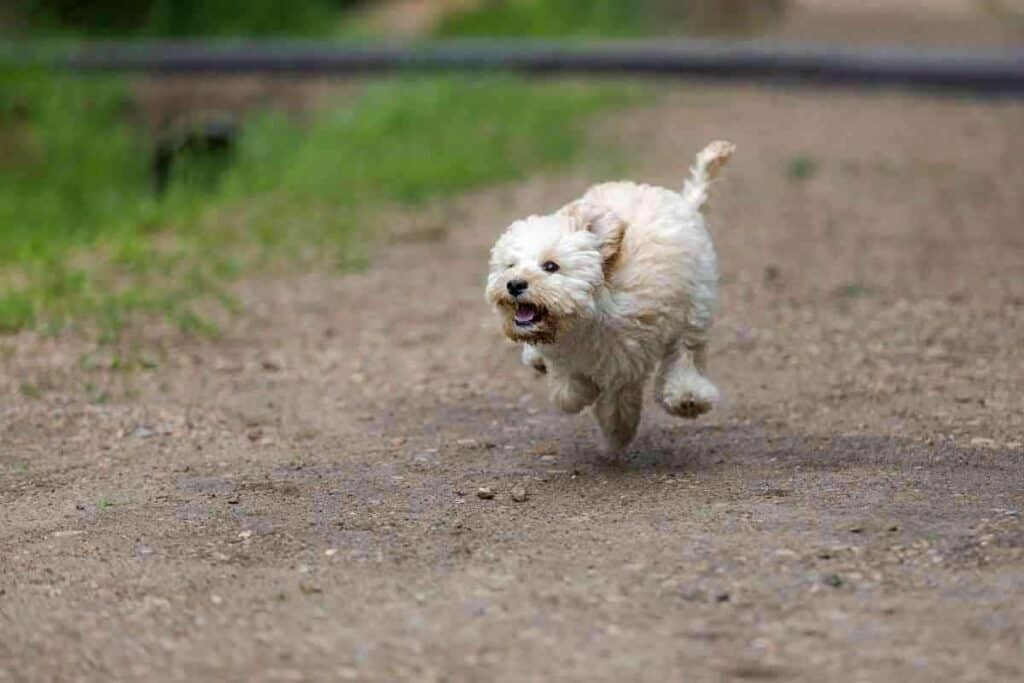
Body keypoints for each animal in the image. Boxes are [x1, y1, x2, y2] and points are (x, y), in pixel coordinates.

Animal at [483, 139, 733, 454]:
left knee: (687, 350)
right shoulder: (569, 354)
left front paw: (621, 429)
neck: (589, 313)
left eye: (551, 266)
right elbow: (569, 390)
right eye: (510, 266)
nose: (514, 284)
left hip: (697, 301)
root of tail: (683, 204)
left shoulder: (632, 351)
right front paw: (580, 392)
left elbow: (625, 392)